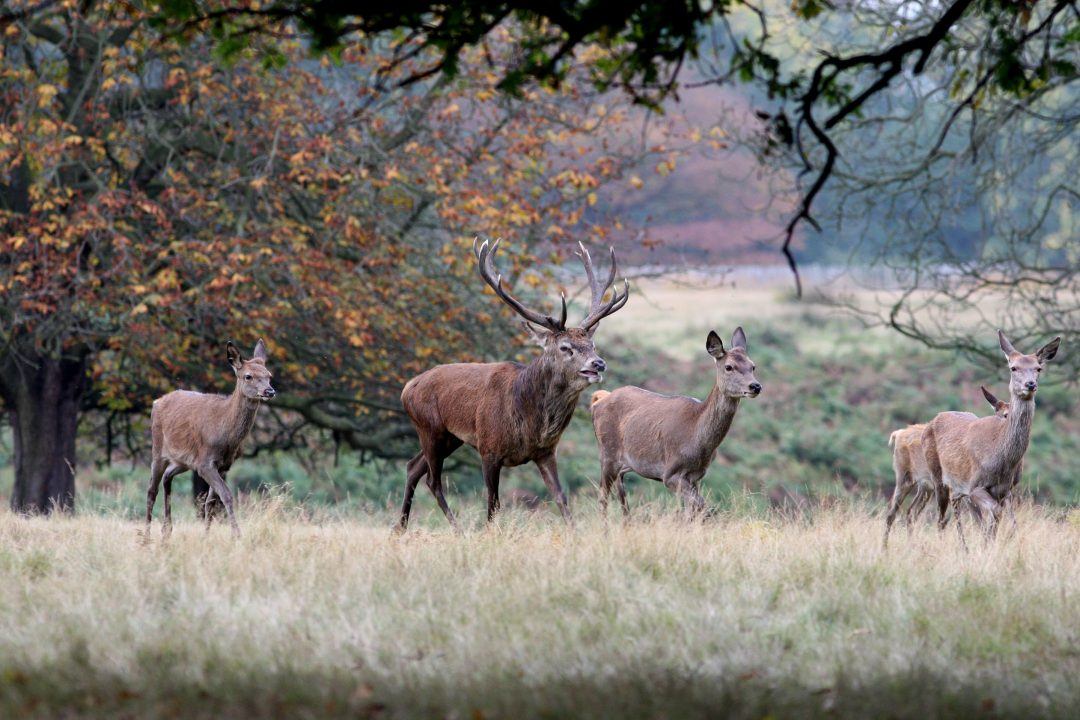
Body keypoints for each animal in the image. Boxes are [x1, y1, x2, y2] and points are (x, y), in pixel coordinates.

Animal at [145, 339, 275, 539]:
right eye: (248, 376)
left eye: (269, 375)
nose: (270, 391)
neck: (226, 435)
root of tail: (156, 402)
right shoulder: (205, 462)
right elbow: (227, 495)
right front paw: (237, 535)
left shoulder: (223, 465)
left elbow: (211, 502)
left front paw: (205, 536)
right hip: (158, 449)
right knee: (151, 490)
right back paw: (145, 536)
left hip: (183, 461)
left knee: (167, 477)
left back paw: (167, 530)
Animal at [396, 238, 629, 531]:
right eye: (565, 347)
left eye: (592, 344)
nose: (598, 364)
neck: (528, 422)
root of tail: (407, 388)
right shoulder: (489, 449)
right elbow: (493, 505)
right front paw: (490, 534)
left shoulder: (545, 452)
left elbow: (561, 499)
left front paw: (574, 533)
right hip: (430, 427)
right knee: (433, 479)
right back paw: (457, 529)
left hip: (450, 437)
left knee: (413, 466)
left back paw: (400, 528)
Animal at [589, 327, 761, 517]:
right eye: (729, 366)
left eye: (753, 366)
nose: (755, 386)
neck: (697, 439)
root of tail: (598, 400)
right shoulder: (670, 473)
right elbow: (701, 506)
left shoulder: (696, 476)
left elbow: (694, 510)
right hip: (607, 453)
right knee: (602, 497)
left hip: (623, 463)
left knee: (621, 496)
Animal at [882, 385, 1008, 547]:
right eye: (1002, 414)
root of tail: (897, 434)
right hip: (904, 476)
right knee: (892, 512)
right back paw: (885, 548)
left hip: (926, 486)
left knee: (911, 512)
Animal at [922, 331, 1060, 546]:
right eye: (1013, 368)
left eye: (1039, 368)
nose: (1030, 384)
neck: (1001, 460)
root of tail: (933, 419)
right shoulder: (974, 485)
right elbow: (993, 514)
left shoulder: (1003, 490)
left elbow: (996, 519)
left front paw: (990, 546)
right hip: (938, 476)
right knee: (942, 517)